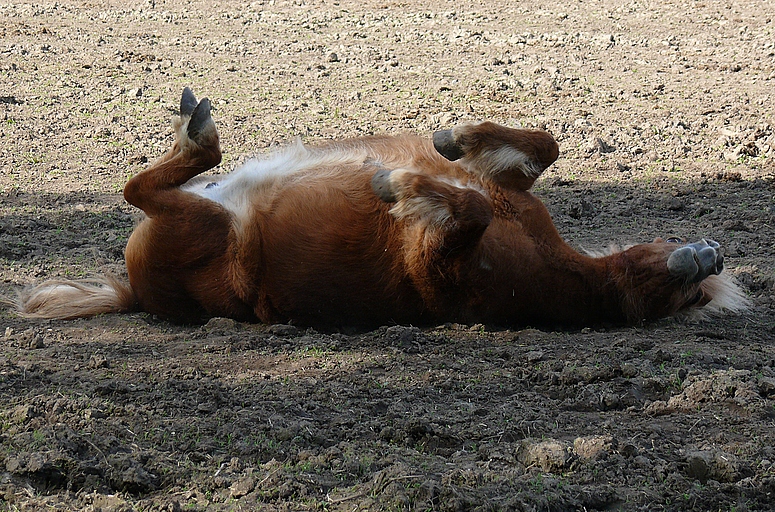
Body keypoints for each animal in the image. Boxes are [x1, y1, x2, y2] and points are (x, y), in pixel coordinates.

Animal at [13, 87, 752, 328]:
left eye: (690, 297)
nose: (710, 256)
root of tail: (134, 294)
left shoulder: (442, 265)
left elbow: (466, 211)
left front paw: (396, 186)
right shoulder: (510, 194)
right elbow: (540, 147)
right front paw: (455, 139)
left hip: (200, 223)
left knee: (141, 191)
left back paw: (200, 135)